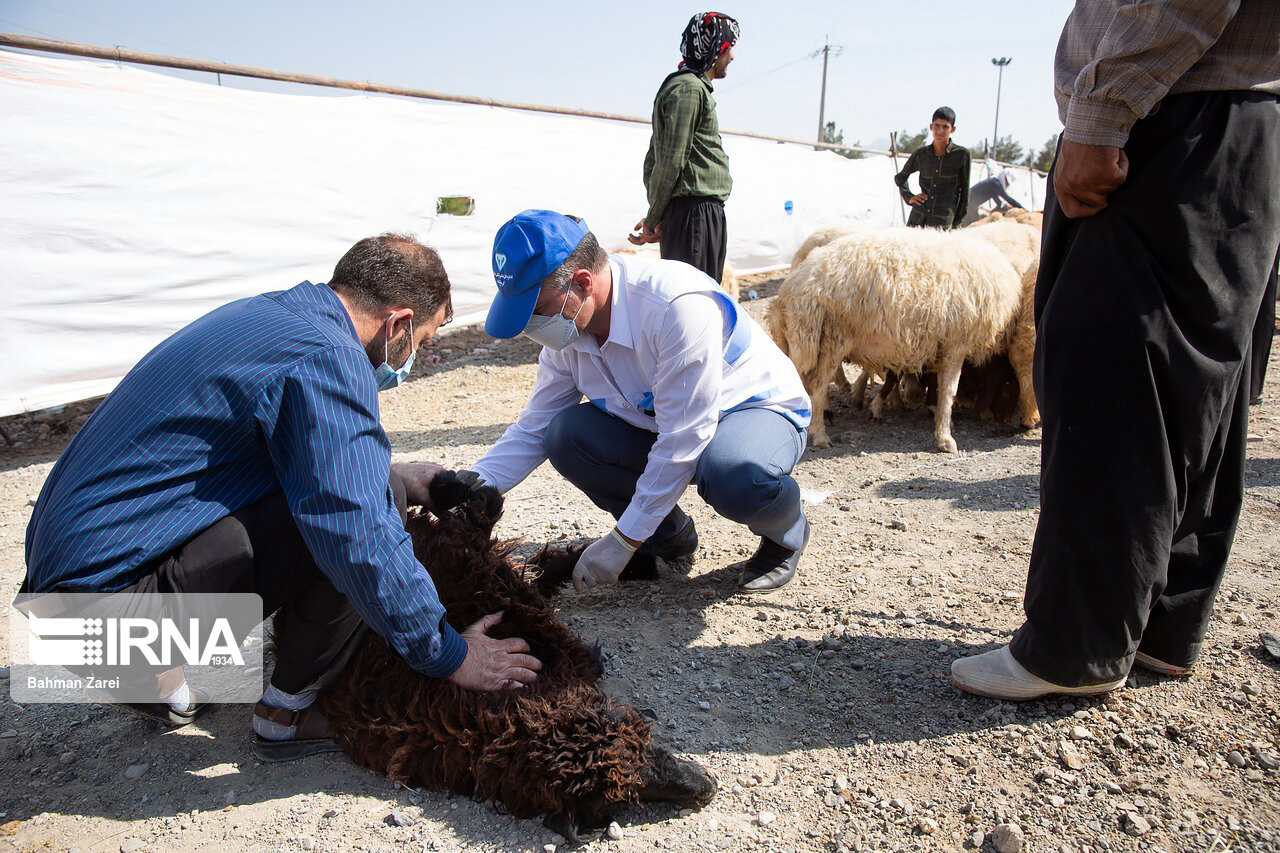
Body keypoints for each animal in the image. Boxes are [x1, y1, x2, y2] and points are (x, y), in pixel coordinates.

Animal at [762, 225, 1034, 450]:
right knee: (817, 387)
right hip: (831, 339)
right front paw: (946, 438)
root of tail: (790, 291)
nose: (1011, 423)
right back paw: (820, 435)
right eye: (1009, 387)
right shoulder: (955, 344)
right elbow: (948, 391)